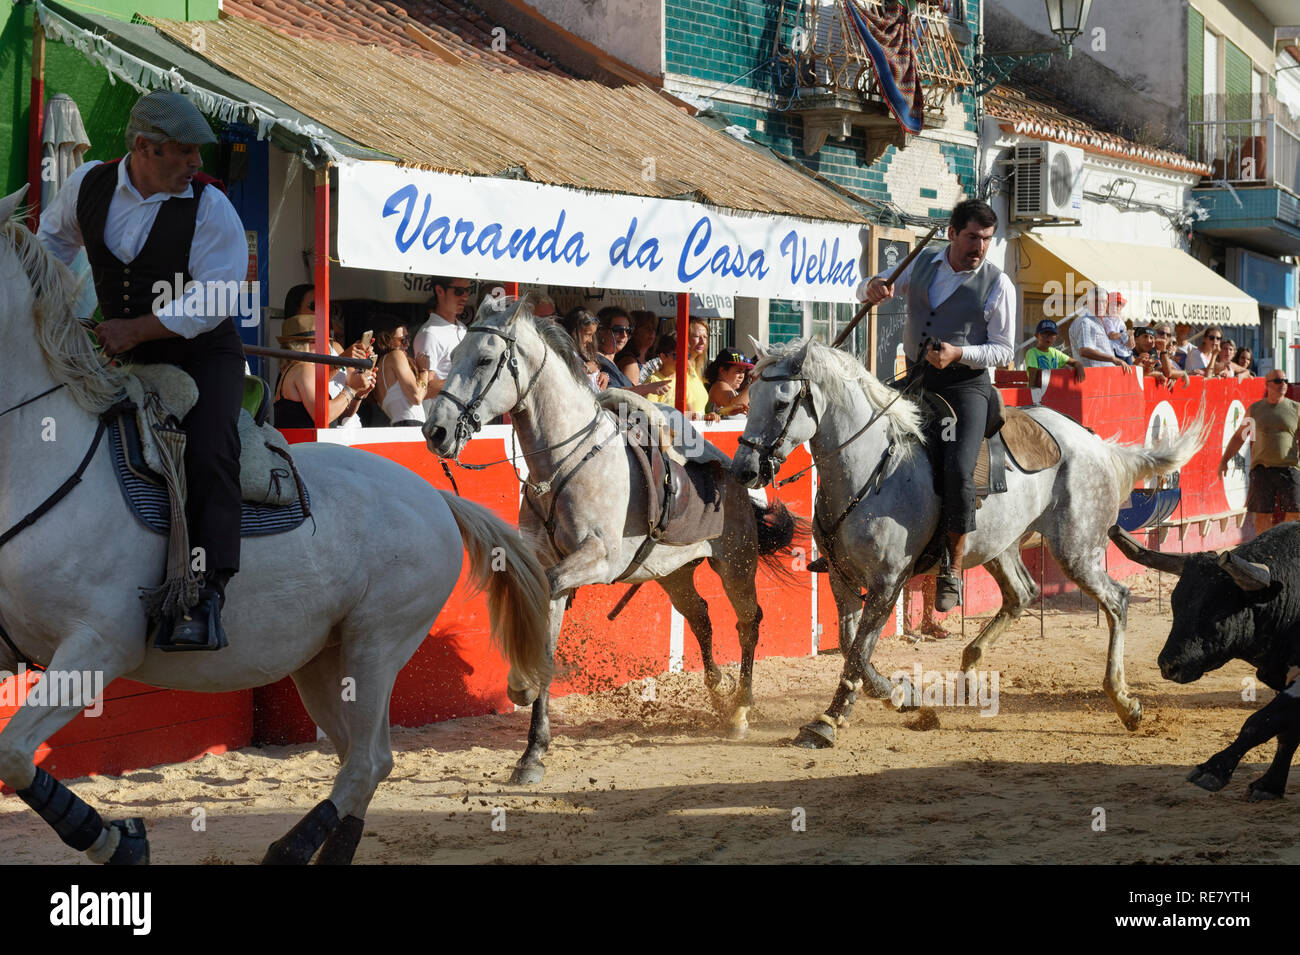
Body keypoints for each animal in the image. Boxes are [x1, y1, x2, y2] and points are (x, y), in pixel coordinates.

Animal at [0, 188, 551, 867]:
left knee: (367, 760)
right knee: (362, 760)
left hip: (376, 644)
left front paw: (117, 840)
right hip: (321, 659)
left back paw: (289, 850)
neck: (42, 457)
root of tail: (431, 495)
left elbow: (14, 753)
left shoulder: (98, 647)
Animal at [733, 337, 1206, 748]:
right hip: (1001, 544)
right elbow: (852, 647)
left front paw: (828, 721)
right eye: (749, 398)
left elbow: (858, 652)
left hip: (1077, 550)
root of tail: (1095, 443)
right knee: (1022, 593)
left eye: (781, 402)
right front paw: (898, 694)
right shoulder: (841, 578)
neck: (872, 467)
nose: (744, 469)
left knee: (1116, 600)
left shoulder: (887, 582)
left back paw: (1125, 702)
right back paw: (972, 663)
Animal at [1107, 522, 1300, 800]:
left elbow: (1261, 722)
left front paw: (1213, 769)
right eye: (1175, 604)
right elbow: (1287, 732)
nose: (1168, 665)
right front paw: (1270, 785)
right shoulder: (1283, 676)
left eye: (1215, 611)